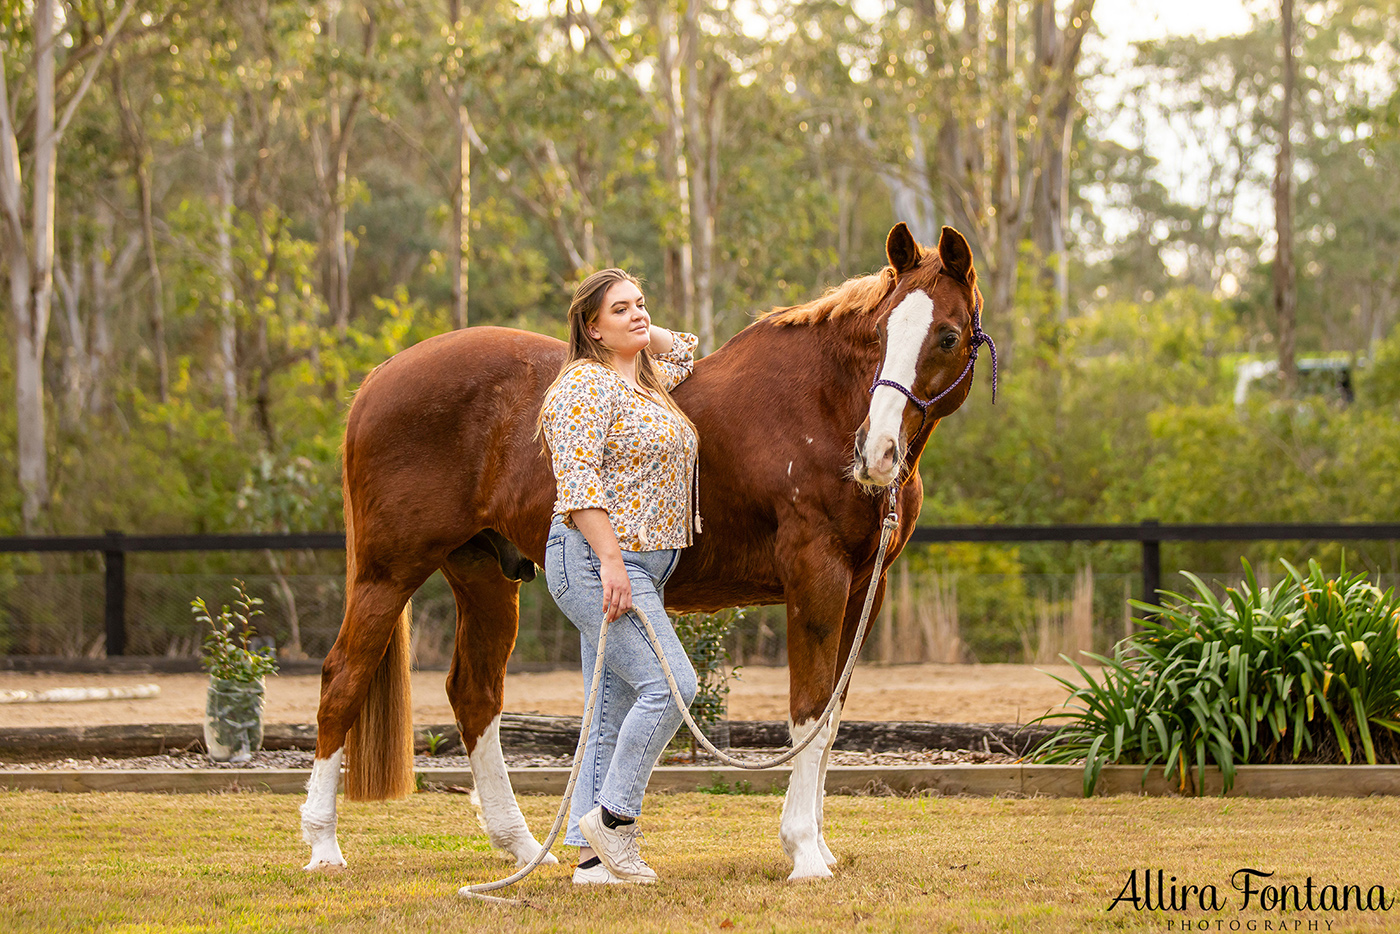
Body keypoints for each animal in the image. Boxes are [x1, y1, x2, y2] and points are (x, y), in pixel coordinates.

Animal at [302, 222, 991, 879]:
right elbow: (808, 713)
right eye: (881, 333)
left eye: (947, 336)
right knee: (343, 679)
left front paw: (818, 847)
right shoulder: (815, 581)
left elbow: (829, 723)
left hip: (484, 575)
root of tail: (380, 377)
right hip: (388, 572)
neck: (818, 409)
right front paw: (803, 854)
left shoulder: (863, 592)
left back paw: (524, 848)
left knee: (474, 695)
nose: (875, 454)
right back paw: (324, 846)